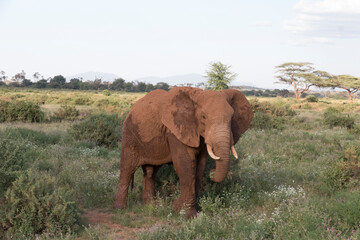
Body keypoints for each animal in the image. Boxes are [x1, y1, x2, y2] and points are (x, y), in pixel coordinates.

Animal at [113, 86, 253, 218]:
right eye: (203, 117)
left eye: (232, 117)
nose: (212, 173)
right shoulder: (175, 130)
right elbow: (185, 162)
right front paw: (187, 214)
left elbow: (200, 165)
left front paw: (180, 209)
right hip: (129, 135)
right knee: (127, 168)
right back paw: (120, 209)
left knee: (150, 171)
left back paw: (150, 206)